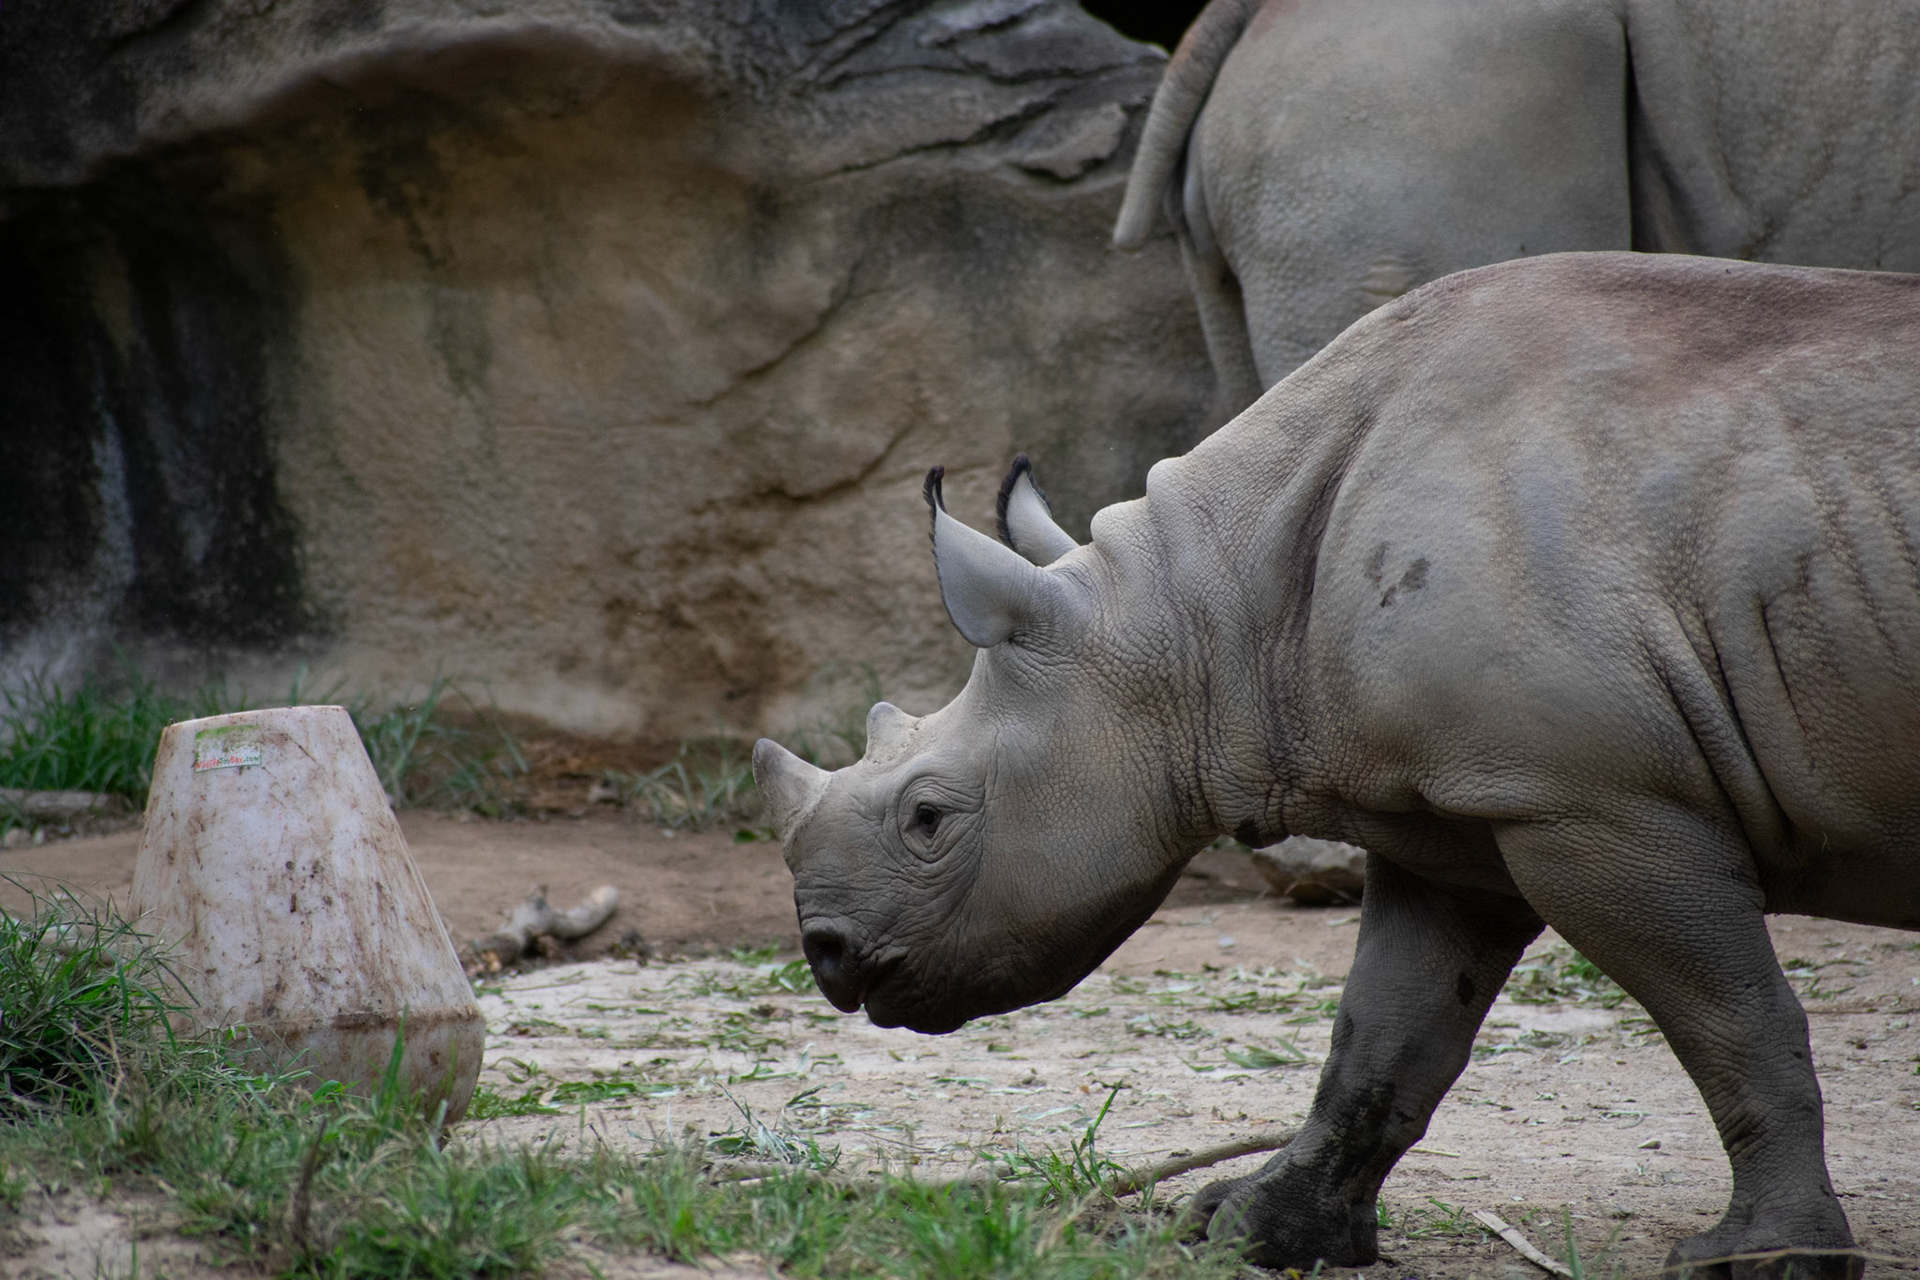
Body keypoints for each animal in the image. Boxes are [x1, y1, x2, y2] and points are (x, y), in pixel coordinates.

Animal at [753, 252, 1920, 1277]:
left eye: (929, 817)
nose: (828, 955)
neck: (1195, 613)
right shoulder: (1468, 815)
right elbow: (1385, 1036)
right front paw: (1249, 1228)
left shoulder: (1596, 801)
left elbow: (1733, 1019)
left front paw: (1764, 1260)